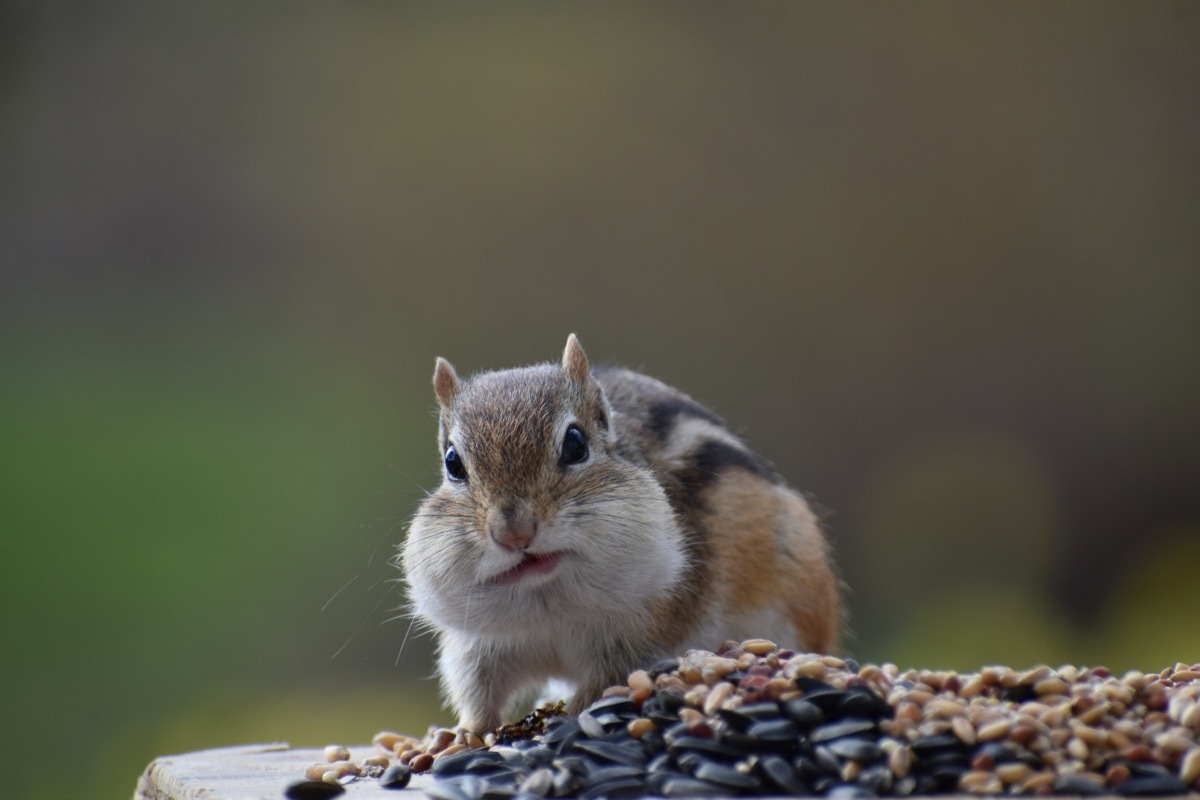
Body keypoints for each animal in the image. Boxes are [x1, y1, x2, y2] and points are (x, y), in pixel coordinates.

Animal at [401, 334, 842, 734]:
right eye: (453, 462)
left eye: (575, 444)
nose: (514, 534)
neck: (547, 603)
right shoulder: (474, 648)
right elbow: (478, 692)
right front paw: (466, 732)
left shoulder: (642, 631)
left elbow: (607, 680)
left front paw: (572, 711)